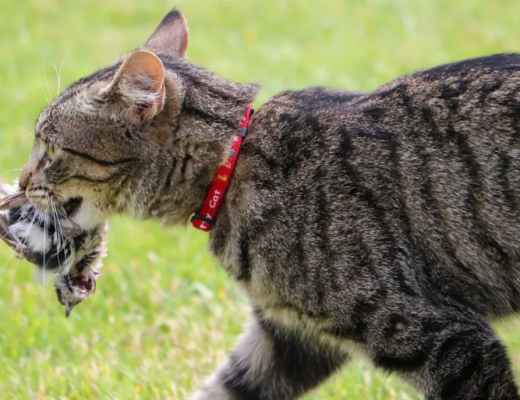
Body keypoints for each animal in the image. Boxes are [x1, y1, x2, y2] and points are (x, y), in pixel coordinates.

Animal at [3, 7, 520, 398]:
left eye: (49, 149)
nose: (20, 182)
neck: (233, 166)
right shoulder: (290, 340)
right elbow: (220, 389)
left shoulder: (446, 338)